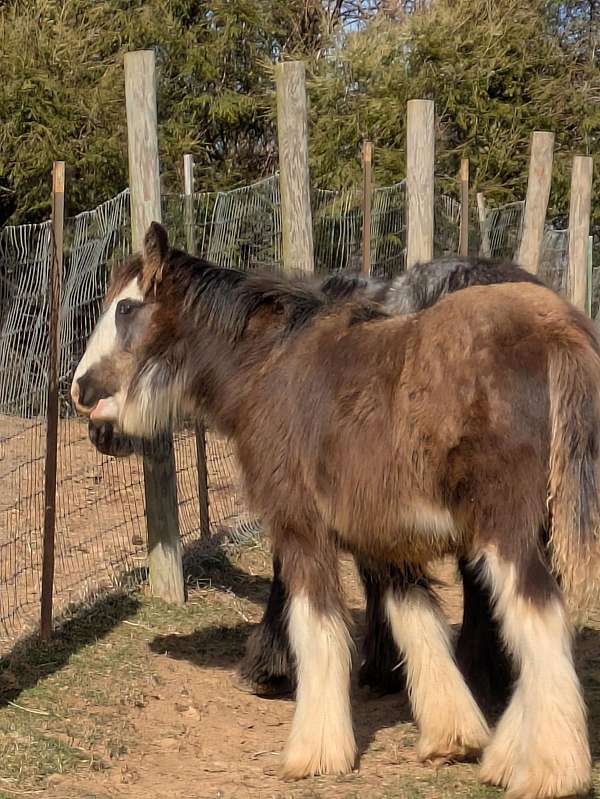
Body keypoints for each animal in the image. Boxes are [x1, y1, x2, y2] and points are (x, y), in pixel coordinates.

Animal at [74, 225, 600, 799]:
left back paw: (549, 770)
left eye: (126, 307)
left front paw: (315, 750)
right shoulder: (384, 539)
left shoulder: (301, 529)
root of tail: (557, 331)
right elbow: (416, 621)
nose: (81, 394)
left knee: (538, 618)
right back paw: (507, 755)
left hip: (507, 531)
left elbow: (316, 628)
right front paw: (452, 735)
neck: (269, 367)